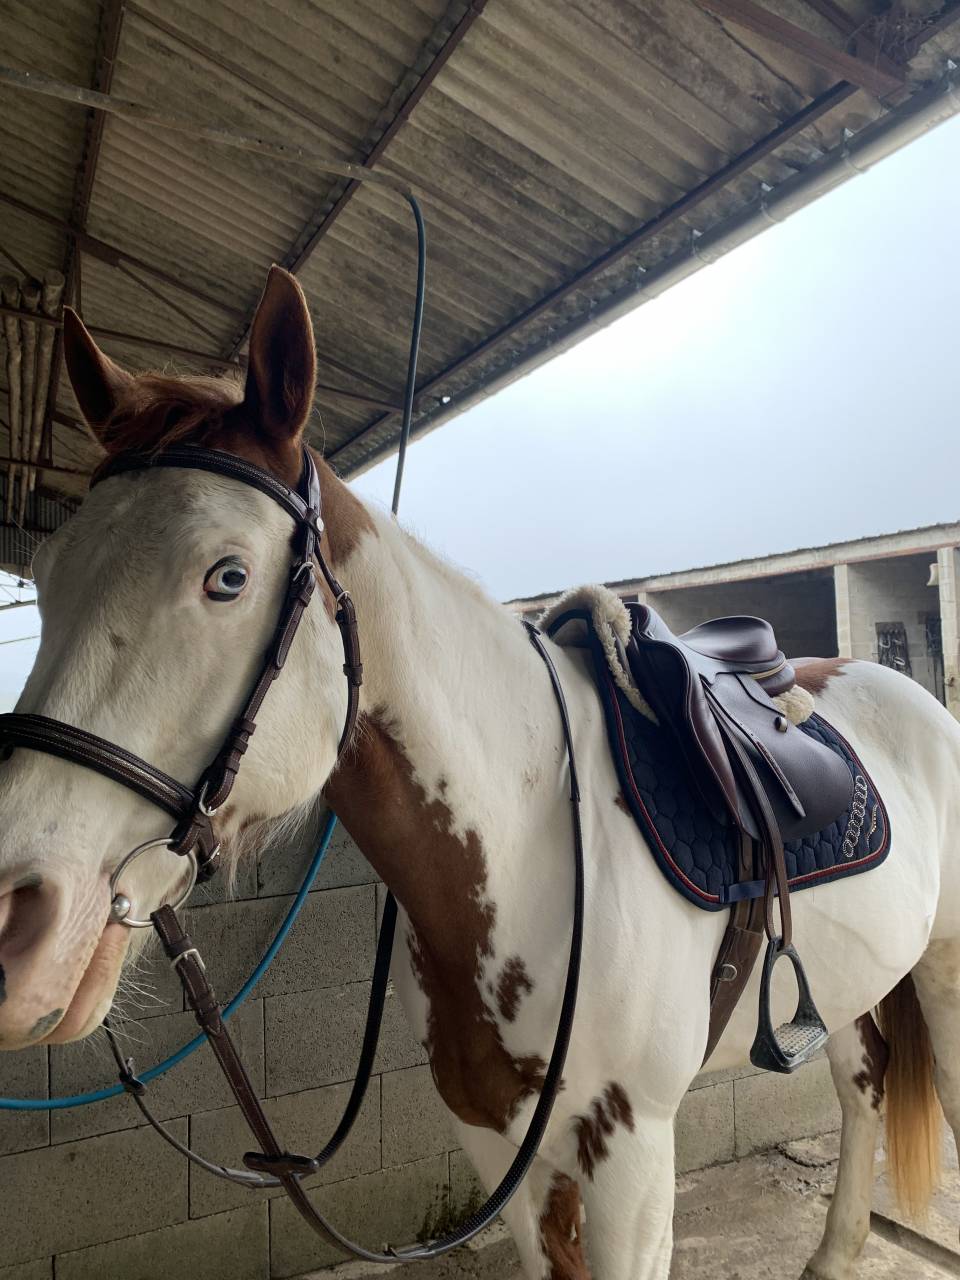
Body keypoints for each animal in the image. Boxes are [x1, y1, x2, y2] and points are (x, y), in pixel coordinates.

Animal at [0, 265, 956, 1280]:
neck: (533, 848)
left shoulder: (631, 1154)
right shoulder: (502, 1144)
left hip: (941, 970)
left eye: (227, 576)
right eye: (48, 575)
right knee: (862, 1085)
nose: (16, 927)